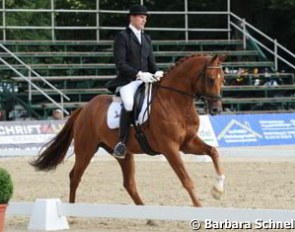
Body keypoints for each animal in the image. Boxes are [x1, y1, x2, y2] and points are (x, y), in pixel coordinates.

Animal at [31, 54, 227, 207]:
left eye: (223, 80)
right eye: (211, 79)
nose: (216, 109)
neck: (175, 102)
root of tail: (84, 107)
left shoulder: (187, 143)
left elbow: (213, 152)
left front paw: (217, 190)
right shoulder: (169, 148)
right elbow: (187, 180)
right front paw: (199, 208)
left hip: (123, 154)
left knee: (129, 184)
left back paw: (149, 217)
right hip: (86, 150)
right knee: (74, 177)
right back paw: (72, 214)